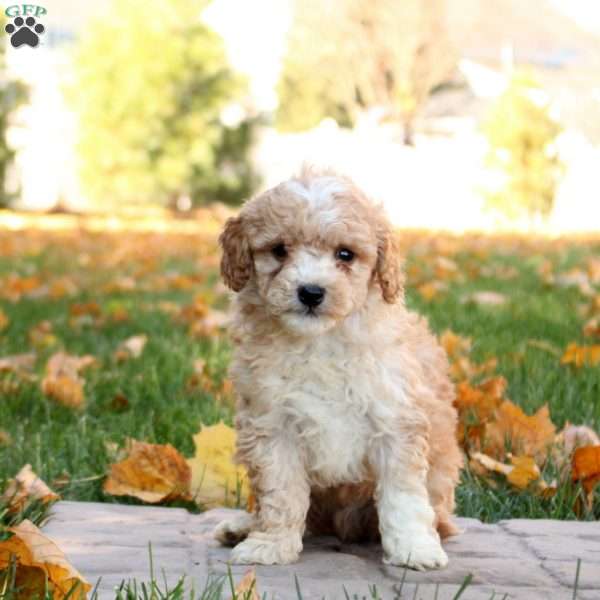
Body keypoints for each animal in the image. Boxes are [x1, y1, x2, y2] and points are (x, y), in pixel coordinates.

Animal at [213, 166, 462, 568]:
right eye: (279, 250)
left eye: (345, 254)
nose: (311, 292)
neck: (320, 340)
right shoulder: (272, 424)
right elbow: (280, 492)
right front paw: (271, 544)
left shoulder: (395, 421)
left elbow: (404, 496)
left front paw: (414, 548)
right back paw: (243, 526)